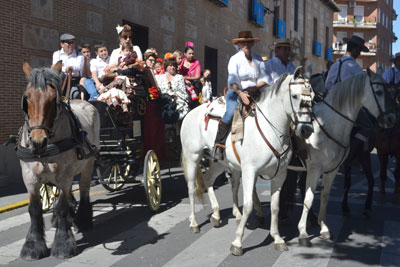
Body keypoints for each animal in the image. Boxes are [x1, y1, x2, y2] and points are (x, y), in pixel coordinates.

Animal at [181, 67, 316, 255]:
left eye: (313, 97)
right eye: (295, 96)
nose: (306, 130)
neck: (271, 129)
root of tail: (190, 113)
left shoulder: (279, 174)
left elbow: (275, 206)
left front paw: (277, 238)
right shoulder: (250, 171)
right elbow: (248, 205)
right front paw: (237, 242)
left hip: (220, 162)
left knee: (209, 180)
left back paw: (216, 214)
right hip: (192, 157)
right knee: (192, 188)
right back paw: (194, 223)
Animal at [296, 68, 396, 247]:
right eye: (379, 91)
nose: (392, 119)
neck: (328, 124)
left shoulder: (335, 168)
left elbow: (326, 195)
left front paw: (324, 228)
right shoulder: (316, 168)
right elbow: (309, 197)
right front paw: (302, 232)